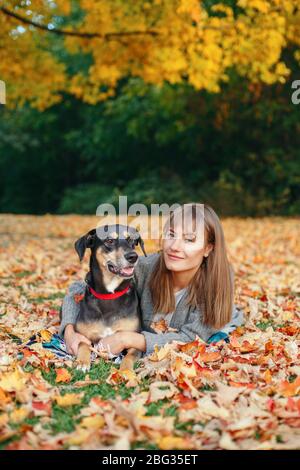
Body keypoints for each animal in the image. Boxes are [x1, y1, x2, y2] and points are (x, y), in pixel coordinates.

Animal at [69, 223, 146, 370]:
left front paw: (125, 370)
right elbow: (83, 344)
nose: (133, 256)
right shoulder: (82, 335)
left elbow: (129, 357)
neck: (110, 294)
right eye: (109, 240)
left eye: (131, 240)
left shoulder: (134, 340)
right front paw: (82, 362)